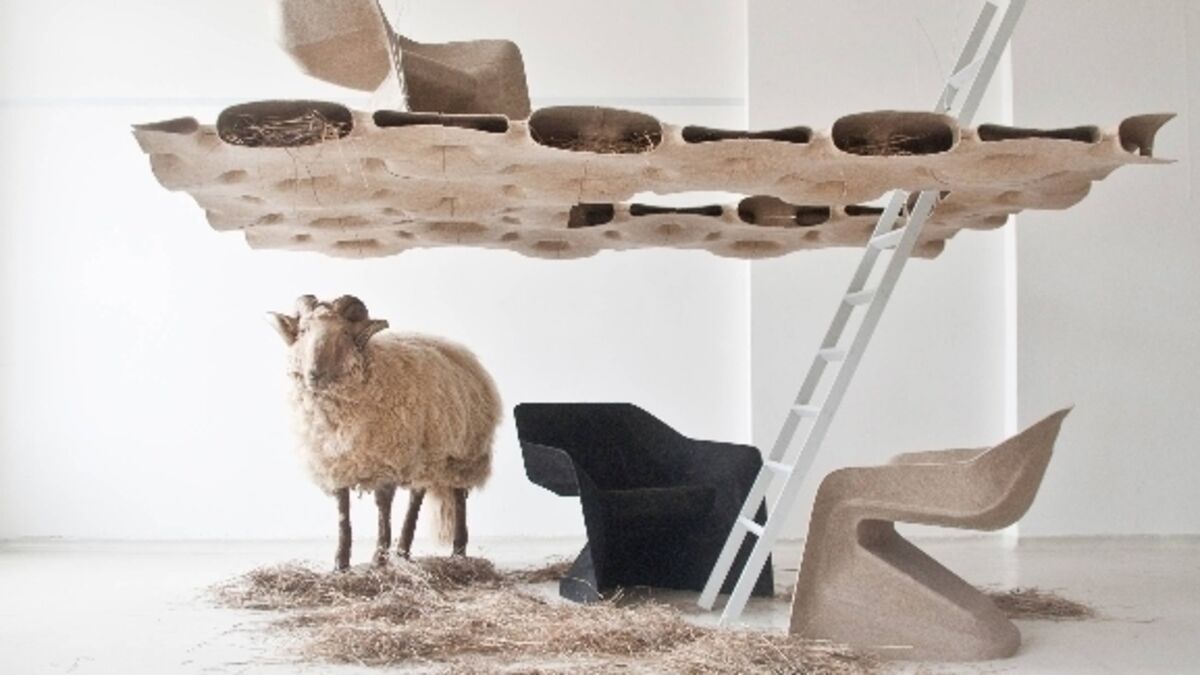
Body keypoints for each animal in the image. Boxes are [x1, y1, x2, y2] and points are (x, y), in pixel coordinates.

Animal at [268, 294, 501, 570]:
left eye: (344, 332)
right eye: (304, 330)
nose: (314, 374)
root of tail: (461, 352)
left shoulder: (387, 457)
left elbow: (383, 505)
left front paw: (379, 557)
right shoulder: (338, 462)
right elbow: (342, 508)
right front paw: (341, 563)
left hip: (462, 454)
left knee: (456, 495)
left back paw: (457, 551)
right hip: (424, 455)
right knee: (418, 494)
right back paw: (403, 551)